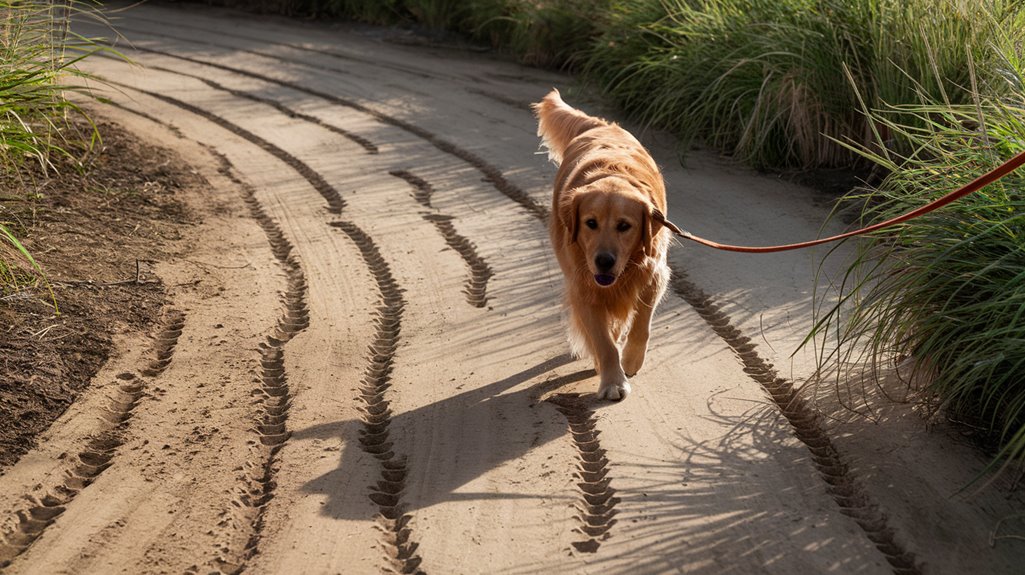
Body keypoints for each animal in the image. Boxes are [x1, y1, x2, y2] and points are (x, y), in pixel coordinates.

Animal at [533, 89, 676, 399]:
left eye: (624, 226)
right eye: (590, 223)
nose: (604, 261)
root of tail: (600, 124)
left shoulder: (653, 274)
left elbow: (641, 326)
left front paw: (631, 360)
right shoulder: (583, 287)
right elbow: (602, 340)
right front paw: (612, 380)